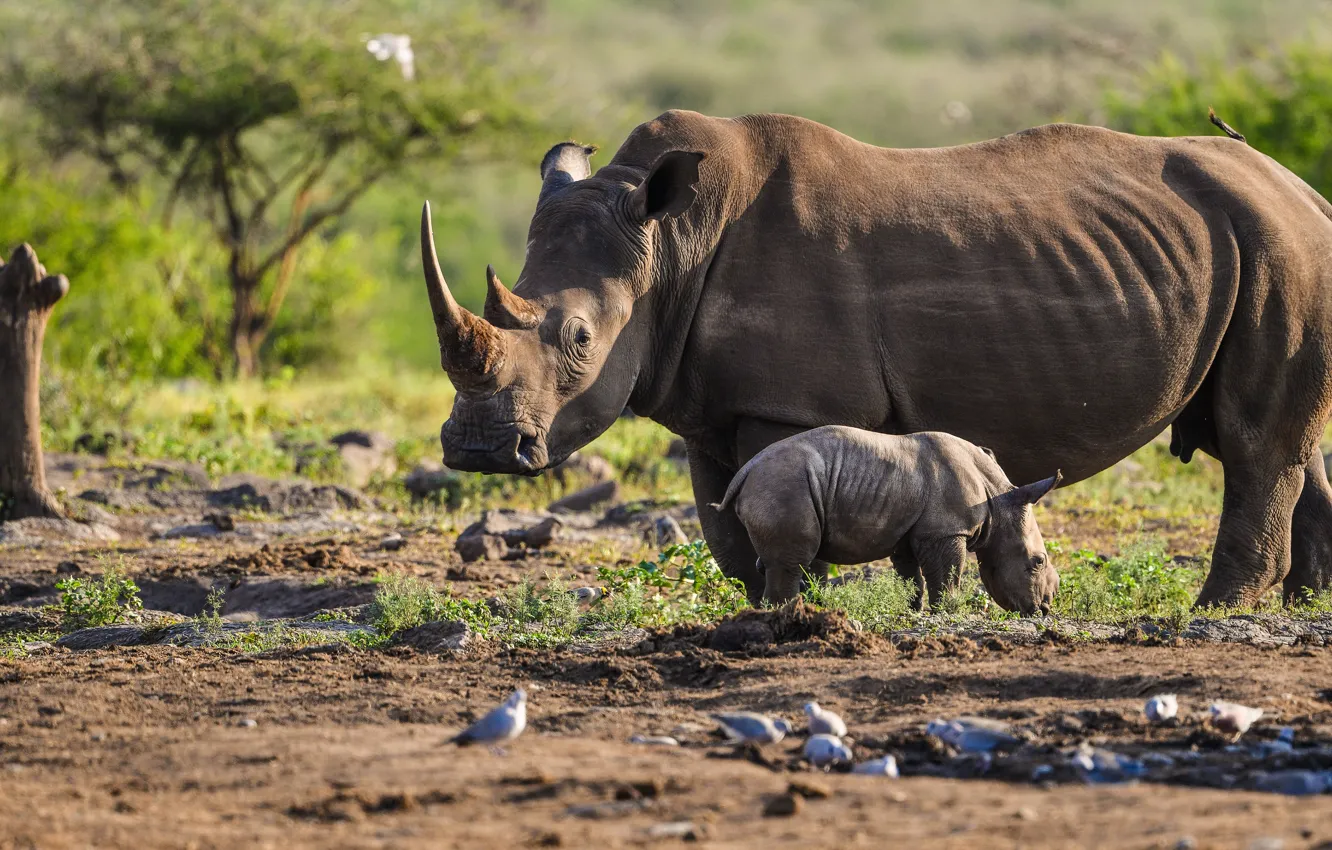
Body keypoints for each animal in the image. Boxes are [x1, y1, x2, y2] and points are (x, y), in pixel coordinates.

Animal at [711, 426, 1061, 612]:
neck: (997, 501)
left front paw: (912, 611)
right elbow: (948, 575)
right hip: (783, 483)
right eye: (1038, 561)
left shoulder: (907, 531)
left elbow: (911, 575)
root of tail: (746, 470)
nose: (1045, 607)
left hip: (776, 483)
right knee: (791, 562)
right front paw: (947, 611)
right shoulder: (947, 530)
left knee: (776, 562)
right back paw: (785, 614)